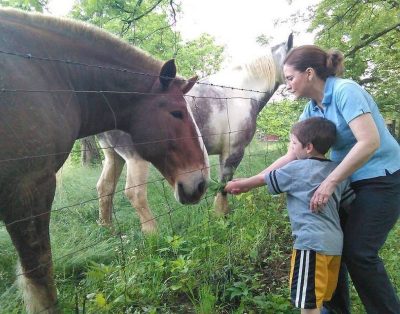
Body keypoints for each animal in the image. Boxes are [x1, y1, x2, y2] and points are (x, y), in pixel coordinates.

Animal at [95, 33, 292, 233]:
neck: (240, 95)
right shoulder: (233, 151)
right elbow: (224, 185)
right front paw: (221, 217)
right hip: (136, 159)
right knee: (135, 193)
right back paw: (153, 234)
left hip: (113, 156)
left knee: (105, 188)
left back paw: (108, 229)